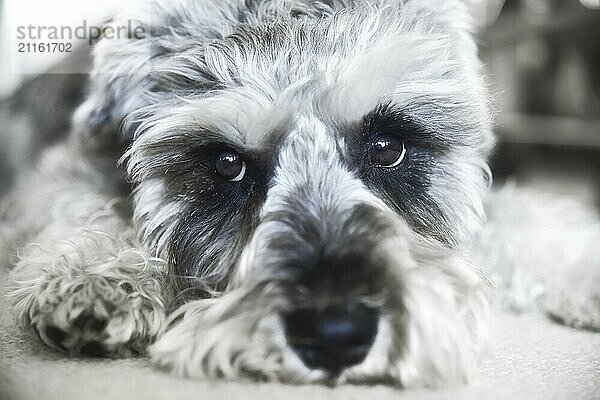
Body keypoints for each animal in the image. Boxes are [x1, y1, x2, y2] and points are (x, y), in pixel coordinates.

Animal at [1, 0, 600, 388]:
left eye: (388, 145)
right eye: (227, 164)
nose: (335, 336)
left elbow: (523, 221)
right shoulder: (60, 172)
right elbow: (86, 206)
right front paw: (93, 276)